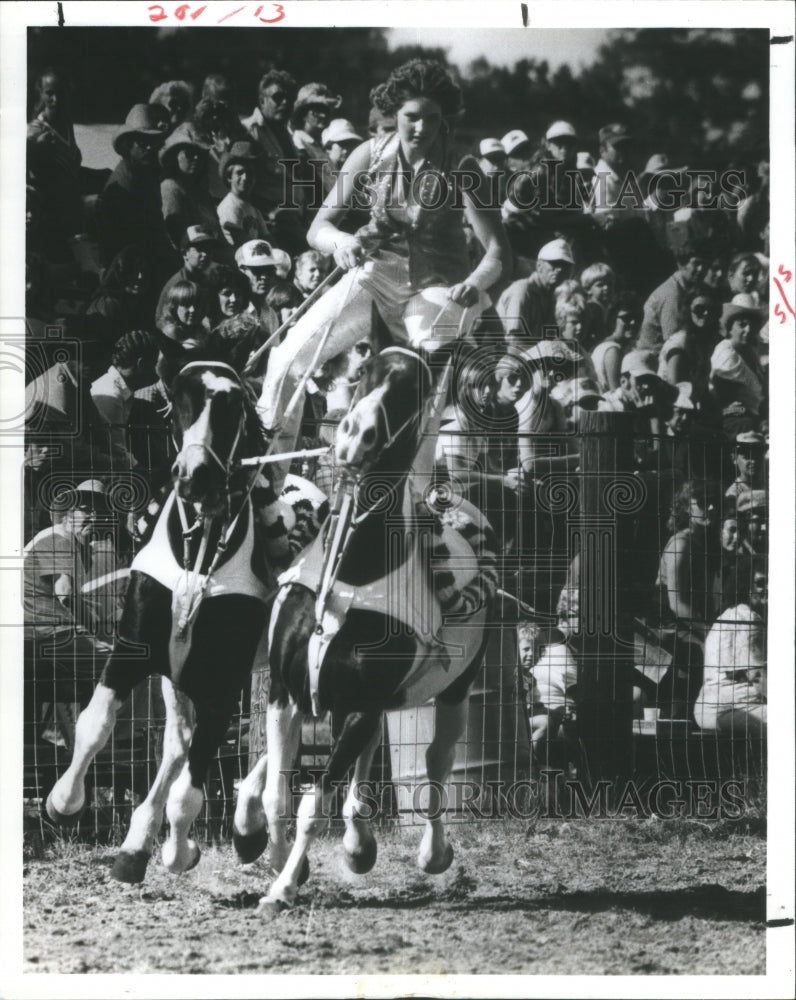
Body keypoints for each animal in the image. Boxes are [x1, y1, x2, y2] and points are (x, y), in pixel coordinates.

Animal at [45, 356, 282, 880]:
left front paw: (179, 851)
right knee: (178, 744)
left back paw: (252, 831)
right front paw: (63, 801)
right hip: (179, 677)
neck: (199, 554)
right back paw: (138, 844)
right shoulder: (136, 650)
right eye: (179, 401)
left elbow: (189, 791)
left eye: (234, 406)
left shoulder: (222, 685)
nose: (195, 475)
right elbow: (94, 724)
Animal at [233, 346, 500, 916]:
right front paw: (280, 861)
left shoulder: (362, 702)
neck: (353, 574)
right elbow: (280, 793)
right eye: (363, 374)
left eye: (414, 391)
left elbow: (314, 803)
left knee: (437, 762)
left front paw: (283, 887)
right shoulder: (288, 692)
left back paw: (430, 853)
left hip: (456, 690)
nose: (355, 435)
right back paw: (349, 842)